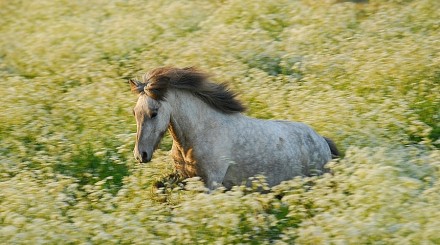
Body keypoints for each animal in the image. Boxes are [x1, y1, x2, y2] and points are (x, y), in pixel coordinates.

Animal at [129, 66, 338, 189]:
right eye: (134, 112)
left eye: (154, 113)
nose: (141, 155)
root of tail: (322, 141)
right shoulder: (184, 177)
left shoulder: (211, 184)